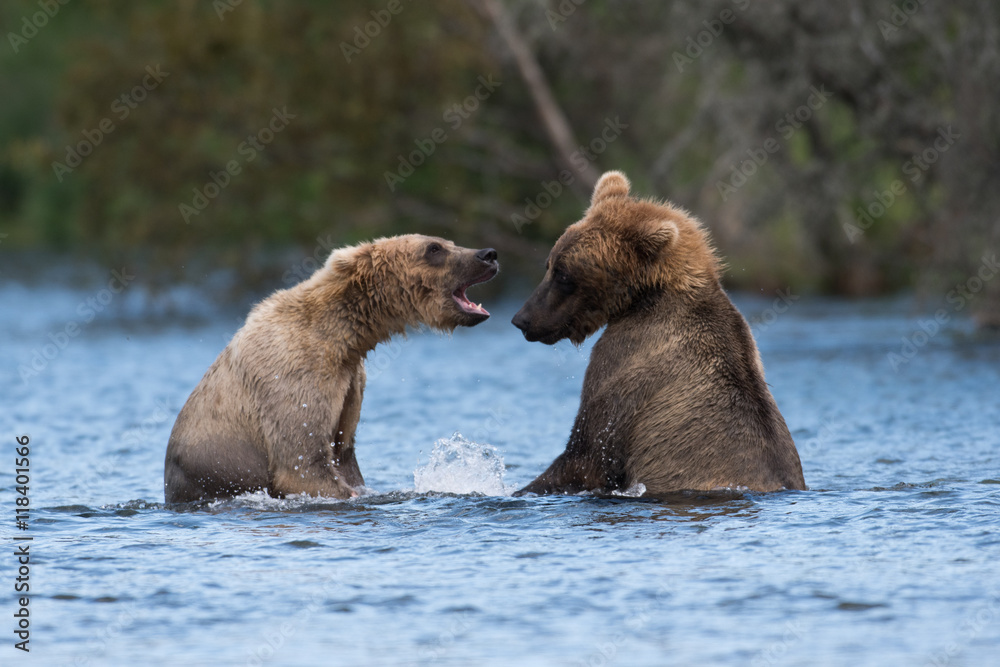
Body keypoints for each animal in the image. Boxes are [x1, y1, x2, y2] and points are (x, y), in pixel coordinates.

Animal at [164, 234, 498, 503]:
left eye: (449, 242)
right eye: (434, 248)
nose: (488, 254)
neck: (342, 337)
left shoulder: (351, 383)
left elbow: (345, 454)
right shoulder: (295, 376)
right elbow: (303, 462)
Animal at [511, 171, 805, 496]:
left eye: (563, 274)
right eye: (549, 264)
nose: (522, 319)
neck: (646, 295)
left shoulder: (628, 363)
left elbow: (587, 452)